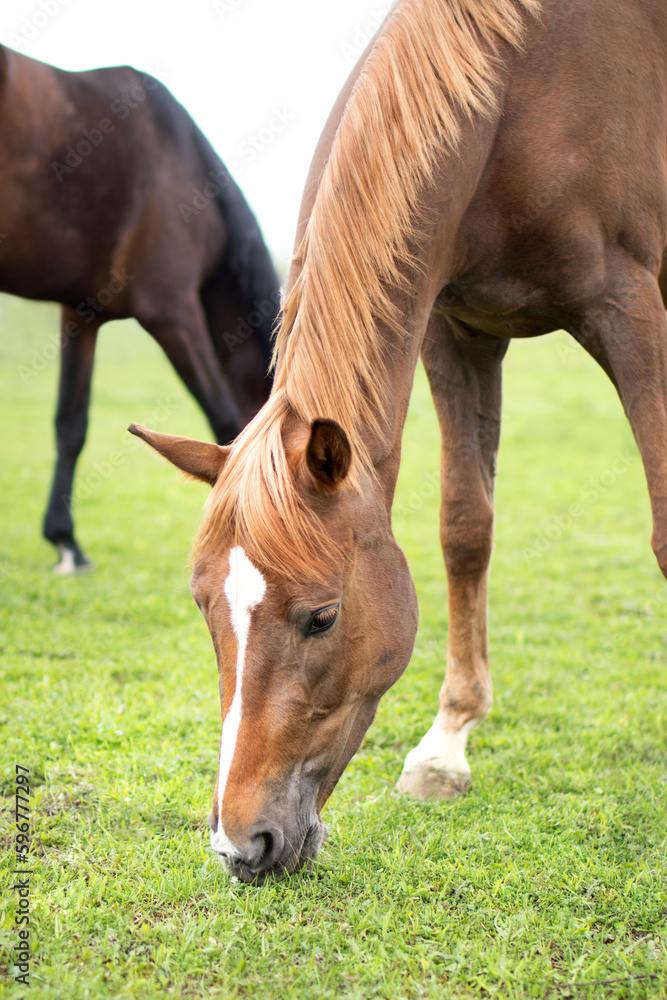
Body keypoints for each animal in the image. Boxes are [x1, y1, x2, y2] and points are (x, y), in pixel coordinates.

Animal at [131, 0, 667, 882]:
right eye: (203, 606)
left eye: (321, 618)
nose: (240, 845)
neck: (520, 86)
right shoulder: (457, 330)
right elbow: (464, 528)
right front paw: (444, 748)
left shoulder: (629, 311)